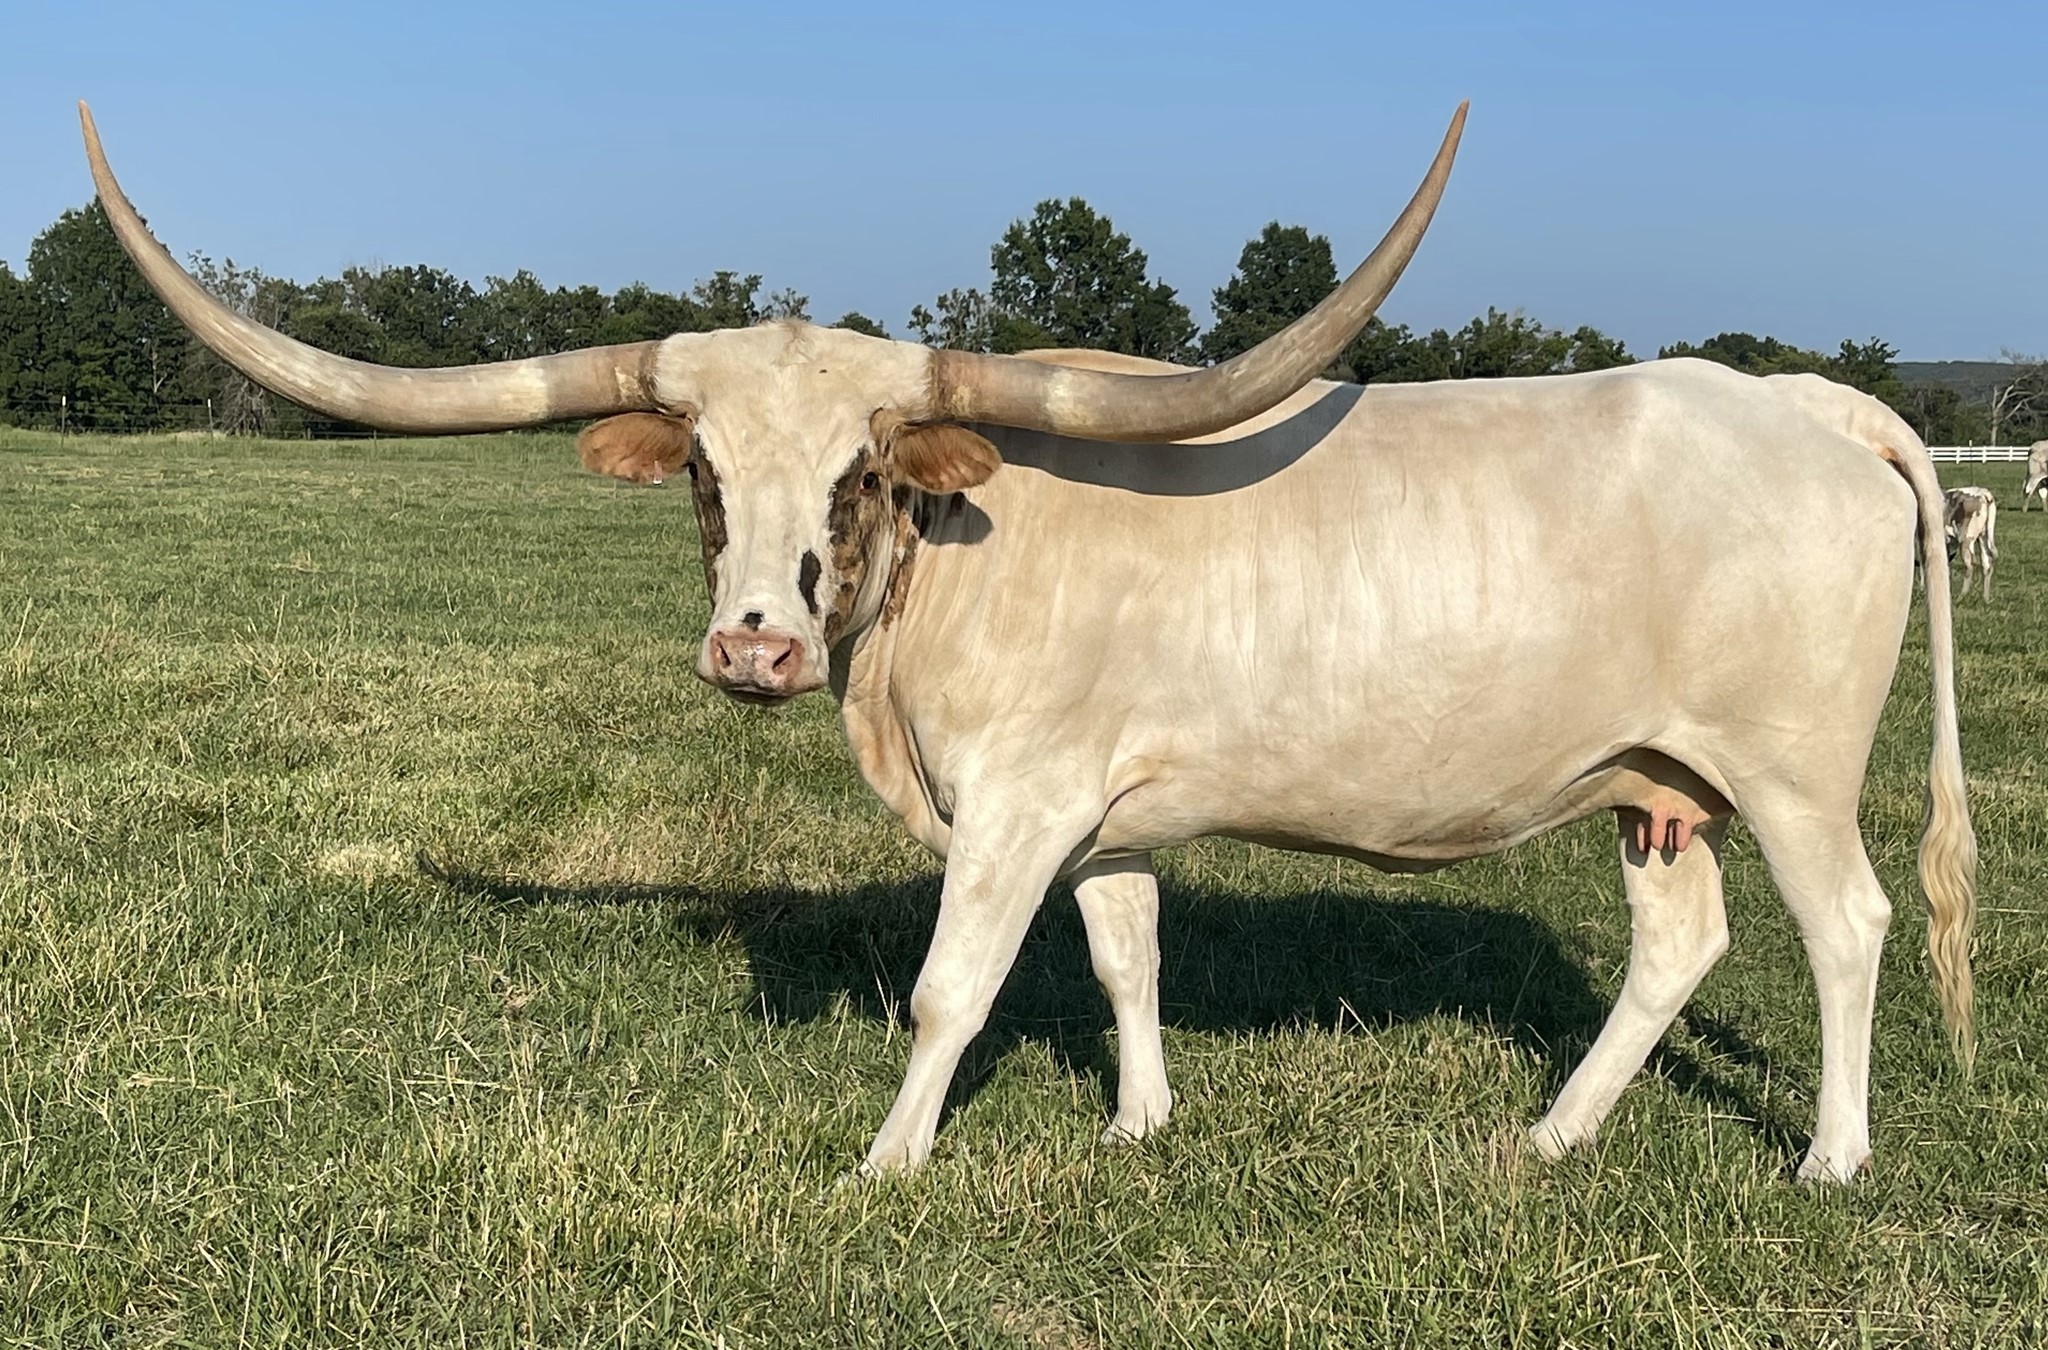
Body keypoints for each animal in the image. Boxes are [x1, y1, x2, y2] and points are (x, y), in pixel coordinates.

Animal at [79, 99, 1975, 1185]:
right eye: (701, 469)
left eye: (860, 473)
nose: (753, 652)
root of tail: (1804, 403)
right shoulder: (1104, 808)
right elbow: (1126, 954)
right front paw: (1139, 1125)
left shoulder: (1013, 803)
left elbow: (950, 988)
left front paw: (886, 1165)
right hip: (1654, 781)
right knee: (1679, 941)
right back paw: (1551, 1134)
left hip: (1791, 772)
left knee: (1849, 927)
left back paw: (1831, 1158)